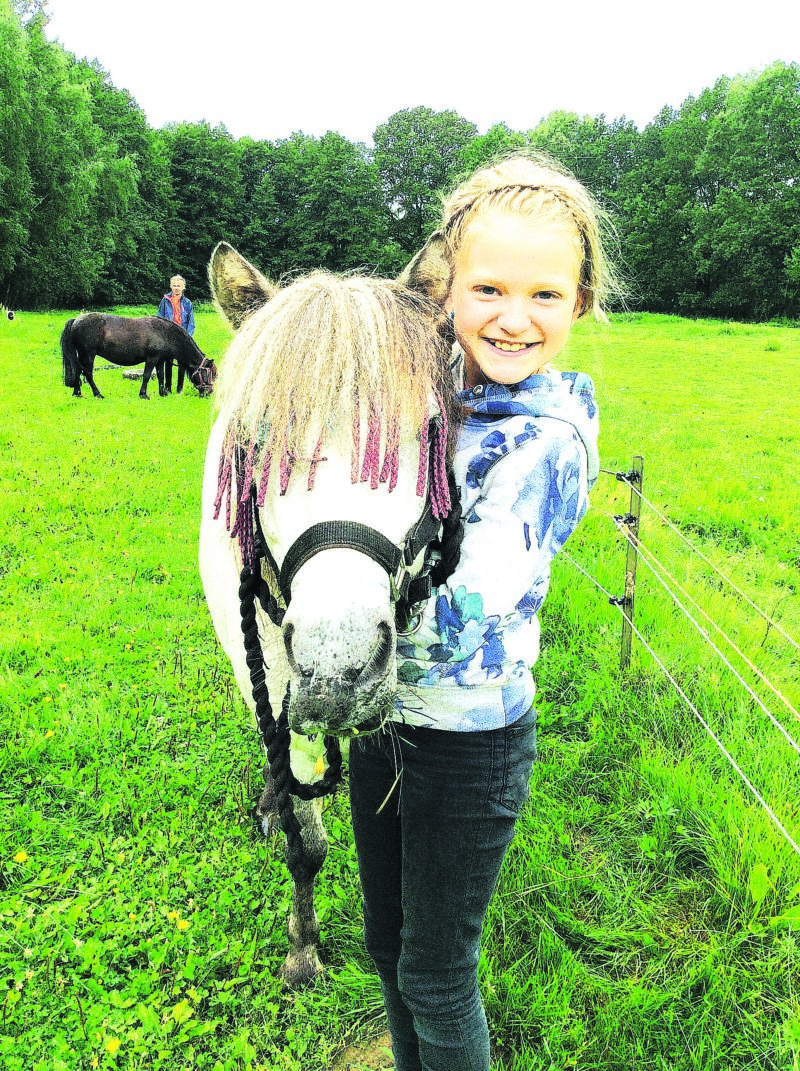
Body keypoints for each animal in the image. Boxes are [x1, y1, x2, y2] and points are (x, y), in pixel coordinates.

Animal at [60, 314, 216, 402]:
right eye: (210, 374)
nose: (209, 393)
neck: (165, 333)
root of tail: (76, 320)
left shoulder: (160, 360)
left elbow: (161, 376)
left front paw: (163, 393)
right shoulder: (151, 359)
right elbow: (146, 376)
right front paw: (143, 395)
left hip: (82, 356)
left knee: (78, 372)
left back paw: (77, 393)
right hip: (88, 355)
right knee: (87, 374)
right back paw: (98, 394)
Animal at [198, 245, 454, 985]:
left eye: (429, 432)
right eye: (252, 443)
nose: (338, 668)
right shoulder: (264, 669)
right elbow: (302, 838)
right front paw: (303, 947)